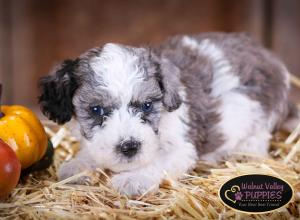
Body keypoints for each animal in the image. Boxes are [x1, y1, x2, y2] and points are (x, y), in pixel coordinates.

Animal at [38, 33, 298, 196]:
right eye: (96, 110)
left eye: (146, 106)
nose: (129, 147)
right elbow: (92, 152)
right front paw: (77, 166)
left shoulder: (181, 148)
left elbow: (158, 162)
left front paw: (133, 179)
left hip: (262, 112)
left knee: (259, 138)